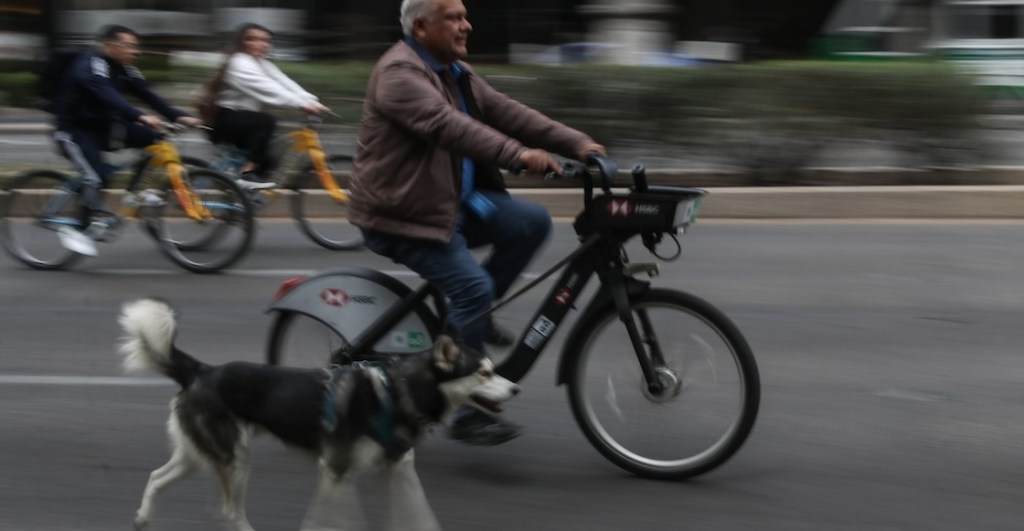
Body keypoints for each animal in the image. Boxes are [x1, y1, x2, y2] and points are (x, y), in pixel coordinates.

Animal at [119, 298, 520, 531]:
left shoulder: (400, 471)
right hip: (234, 461)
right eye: (483, 373)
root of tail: (201, 370)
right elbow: (333, 521)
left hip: (199, 456)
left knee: (157, 477)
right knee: (230, 513)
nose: (516, 388)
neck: (398, 392)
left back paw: (142, 518)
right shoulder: (334, 470)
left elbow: (419, 517)